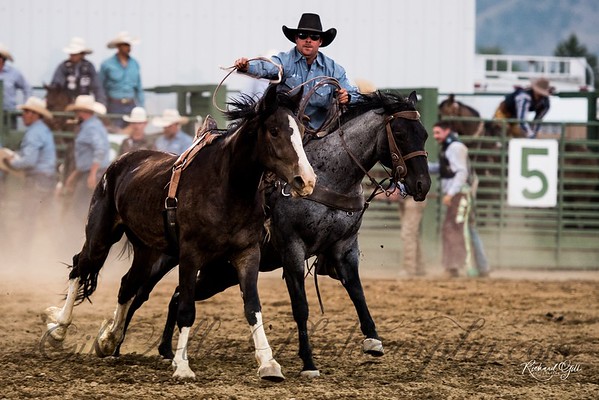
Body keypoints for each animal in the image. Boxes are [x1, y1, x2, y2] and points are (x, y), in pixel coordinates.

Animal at [41, 85, 318, 382]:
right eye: (274, 131)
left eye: (302, 128)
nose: (306, 180)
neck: (227, 186)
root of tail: (119, 163)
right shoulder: (190, 255)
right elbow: (186, 309)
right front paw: (182, 365)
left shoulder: (247, 253)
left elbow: (253, 307)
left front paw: (268, 363)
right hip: (101, 237)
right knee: (80, 266)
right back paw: (59, 329)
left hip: (148, 251)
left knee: (127, 284)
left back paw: (109, 340)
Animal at [116, 89, 432, 376]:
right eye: (400, 133)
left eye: (425, 135)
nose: (422, 185)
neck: (330, 177)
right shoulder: (293, 249)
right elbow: (300, 306)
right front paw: (308, 363)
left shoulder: (344, 247)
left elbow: (357, 291)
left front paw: (373, 340)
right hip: (166, 257)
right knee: (139, 291)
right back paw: (115, 342)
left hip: (220, 273)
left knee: (177, 295)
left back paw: (166, 350)